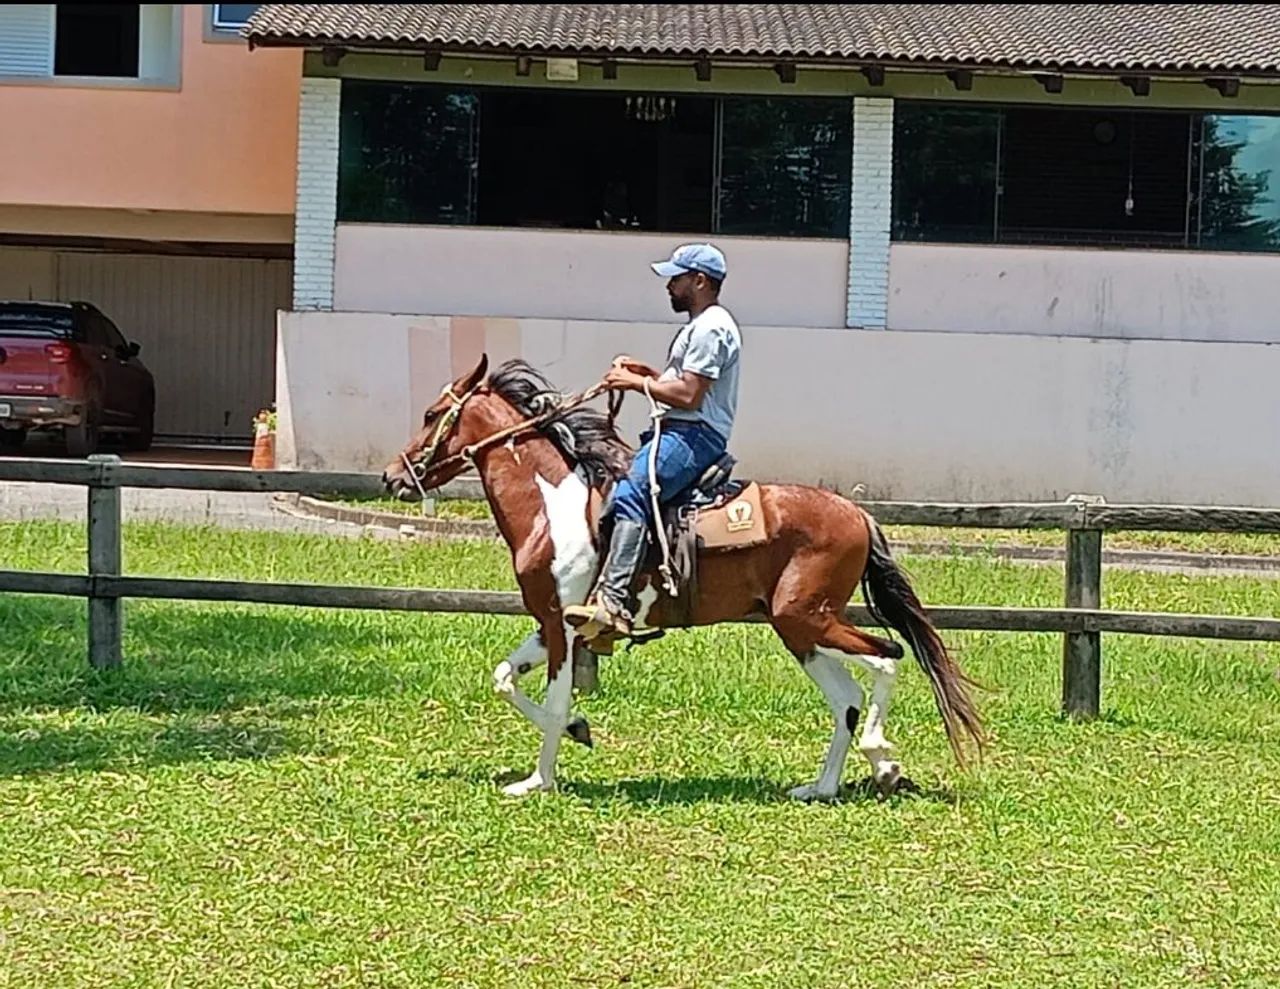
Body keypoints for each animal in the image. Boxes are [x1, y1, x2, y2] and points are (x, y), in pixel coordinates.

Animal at [381, 354, 985, 800]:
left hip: (806, 619)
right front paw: (578, 730)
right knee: (847, 697)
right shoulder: (550, 621)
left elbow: (550, 704)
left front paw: (538, 780)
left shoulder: (563, 629)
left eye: (433, 414)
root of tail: (856, 512)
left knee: (887, 658)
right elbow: (504, 678)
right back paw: (825, 786)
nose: (392, 477)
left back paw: (879, 760)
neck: (555, 506)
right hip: (801, 631)